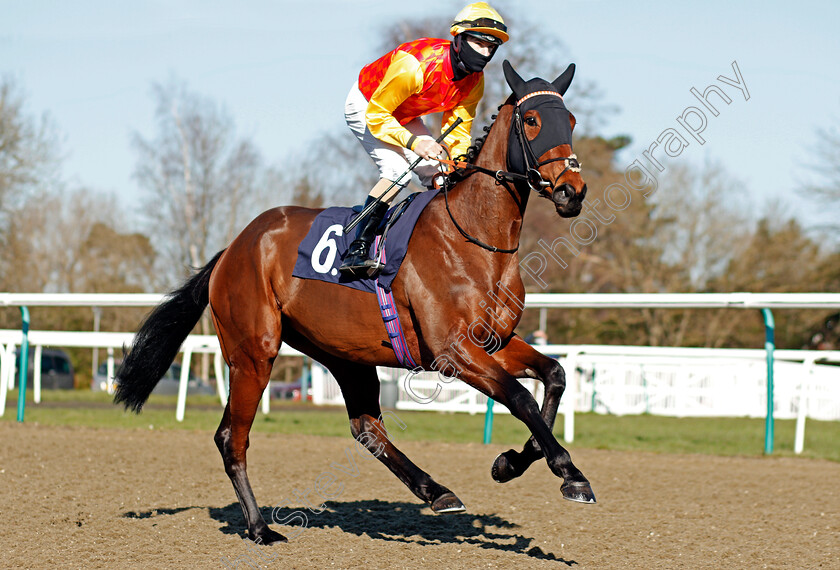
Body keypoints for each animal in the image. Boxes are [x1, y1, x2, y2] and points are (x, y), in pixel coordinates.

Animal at [115, 60, 592, 544]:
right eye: (531, 121)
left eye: (571, 121)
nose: (572, 190)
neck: (474, 238)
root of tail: (233, 248)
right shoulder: (452, 351)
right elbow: (521, 397)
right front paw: (569, 473)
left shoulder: (495, 342)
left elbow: (554, 376)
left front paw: (513, 461)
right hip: (254, 352)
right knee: (232, 435)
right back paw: (260, 527)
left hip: (344, 353)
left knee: (366, 428)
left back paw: (437, 491)